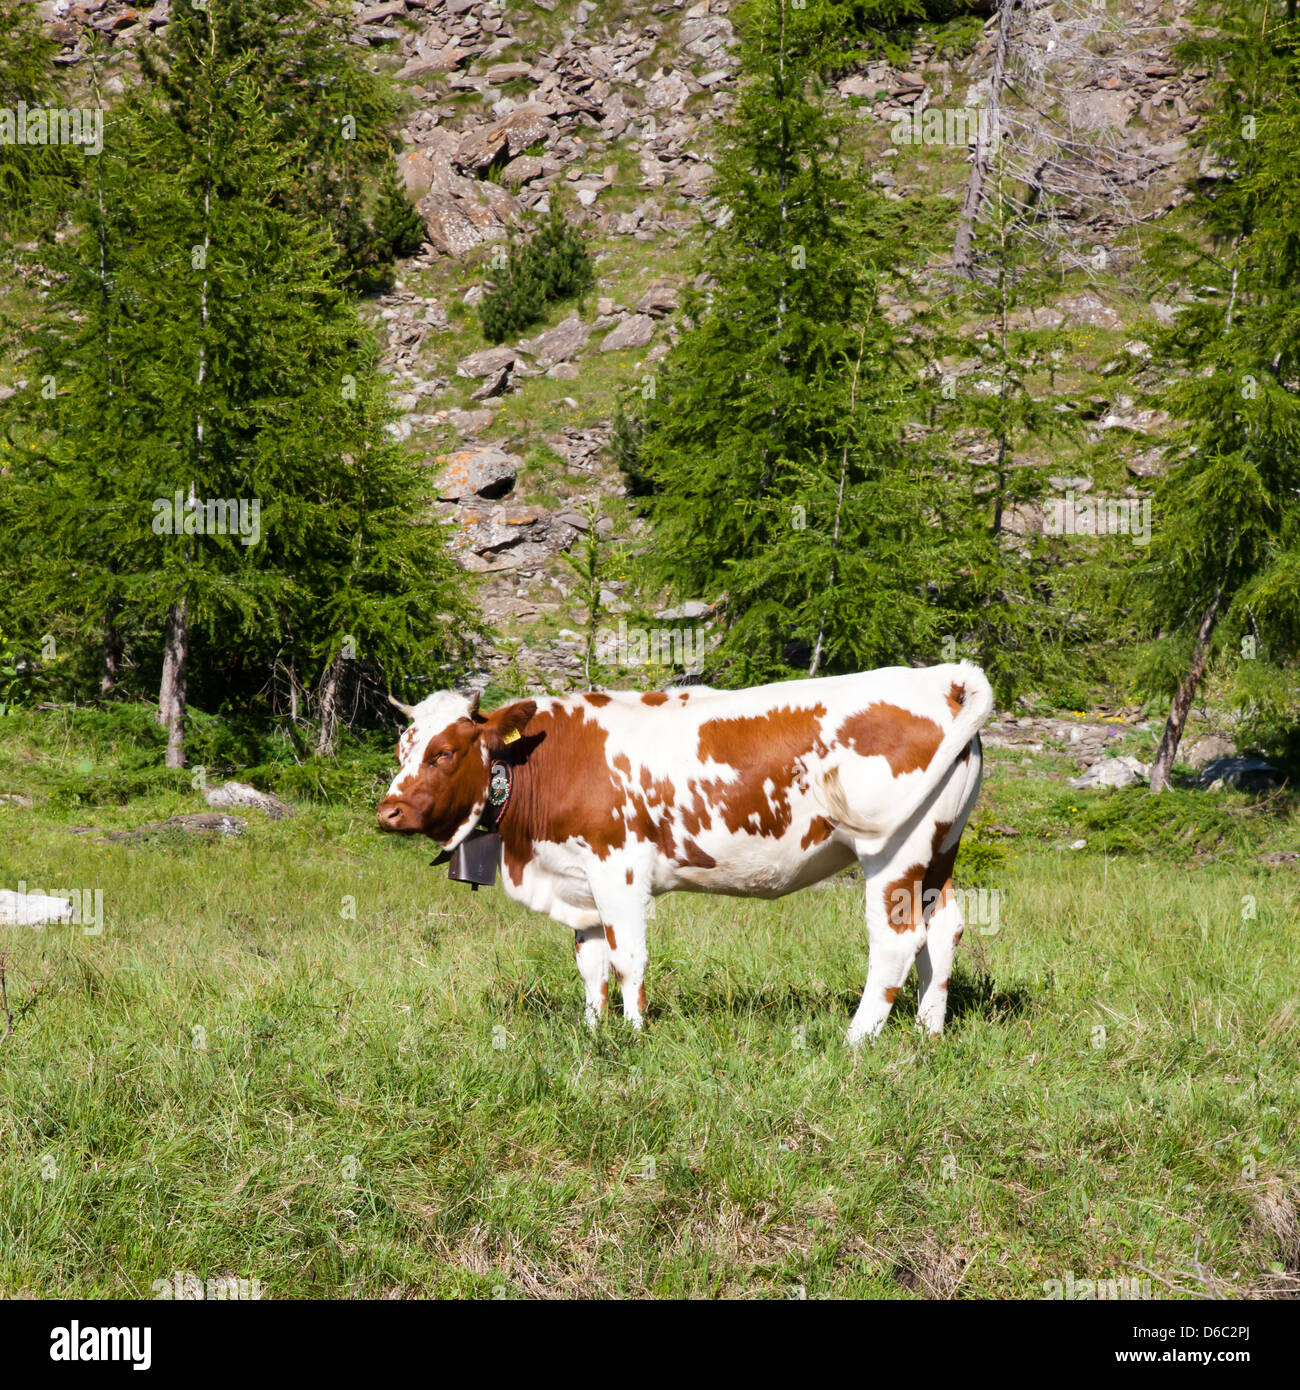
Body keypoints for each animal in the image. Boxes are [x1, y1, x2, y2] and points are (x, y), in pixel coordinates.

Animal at [377, 661, 994, 1043]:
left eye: (445, 752)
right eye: (403, 748)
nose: (389, 811)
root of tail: (940, 678)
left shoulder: (618, 868)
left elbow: (628, 958)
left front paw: (633, 1037)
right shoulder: (579, 879)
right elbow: (591, 964)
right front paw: (592, 1032)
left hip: (893, 852)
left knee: (895, 940)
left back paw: (855, 1039)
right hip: (940, 849)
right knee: (942, 929)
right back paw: (927, 1033)